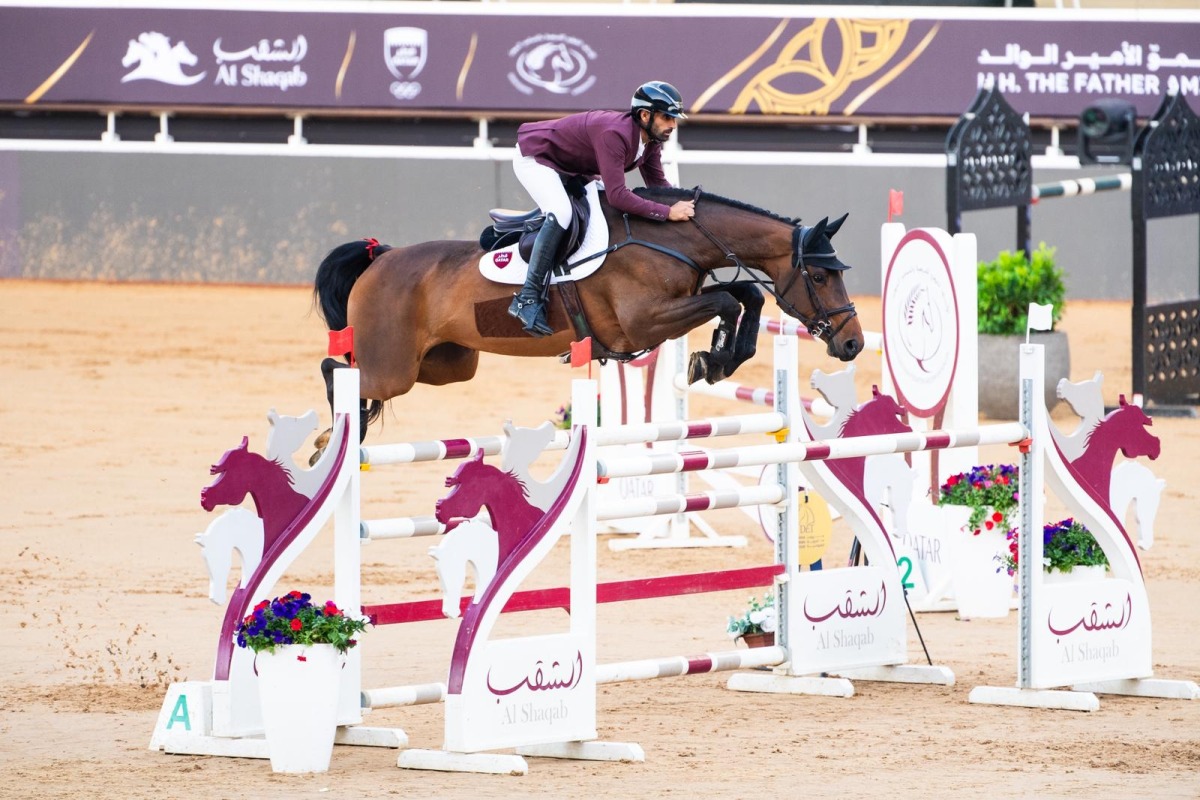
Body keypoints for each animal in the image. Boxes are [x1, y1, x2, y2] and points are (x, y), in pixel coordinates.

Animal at [313, 186, 864, 436]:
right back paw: (335, 436)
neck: (673, 240)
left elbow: (747, 296)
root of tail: (381, 258)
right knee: (338, 369)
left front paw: (721, 358)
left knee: (359, 375)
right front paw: (710, 359)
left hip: (449, 363)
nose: (853, 342)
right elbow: (730, 298)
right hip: (393, 366)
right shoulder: (644, 323)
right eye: (820, 277)